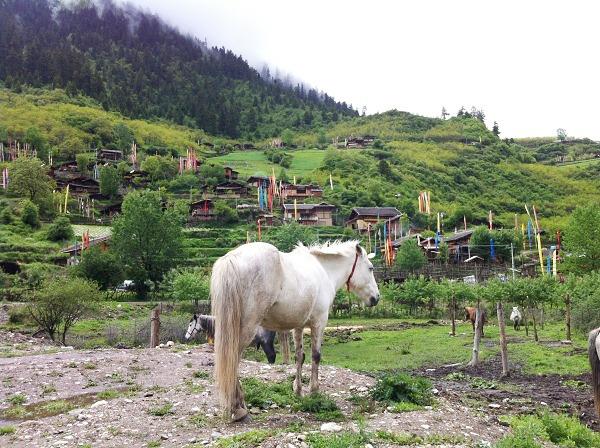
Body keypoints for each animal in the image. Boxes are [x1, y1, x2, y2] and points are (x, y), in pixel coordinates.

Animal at [212, 240, 380, 422]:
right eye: (370, 268)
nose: (376, 298)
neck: (324, 270)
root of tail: (232, 259)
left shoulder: (298, 326)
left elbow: (299, 356)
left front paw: (298, 390)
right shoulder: (319, 323)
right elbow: (315, 356)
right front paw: (314, 391)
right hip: (246, 330)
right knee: (233, 359)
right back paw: (238, 408)